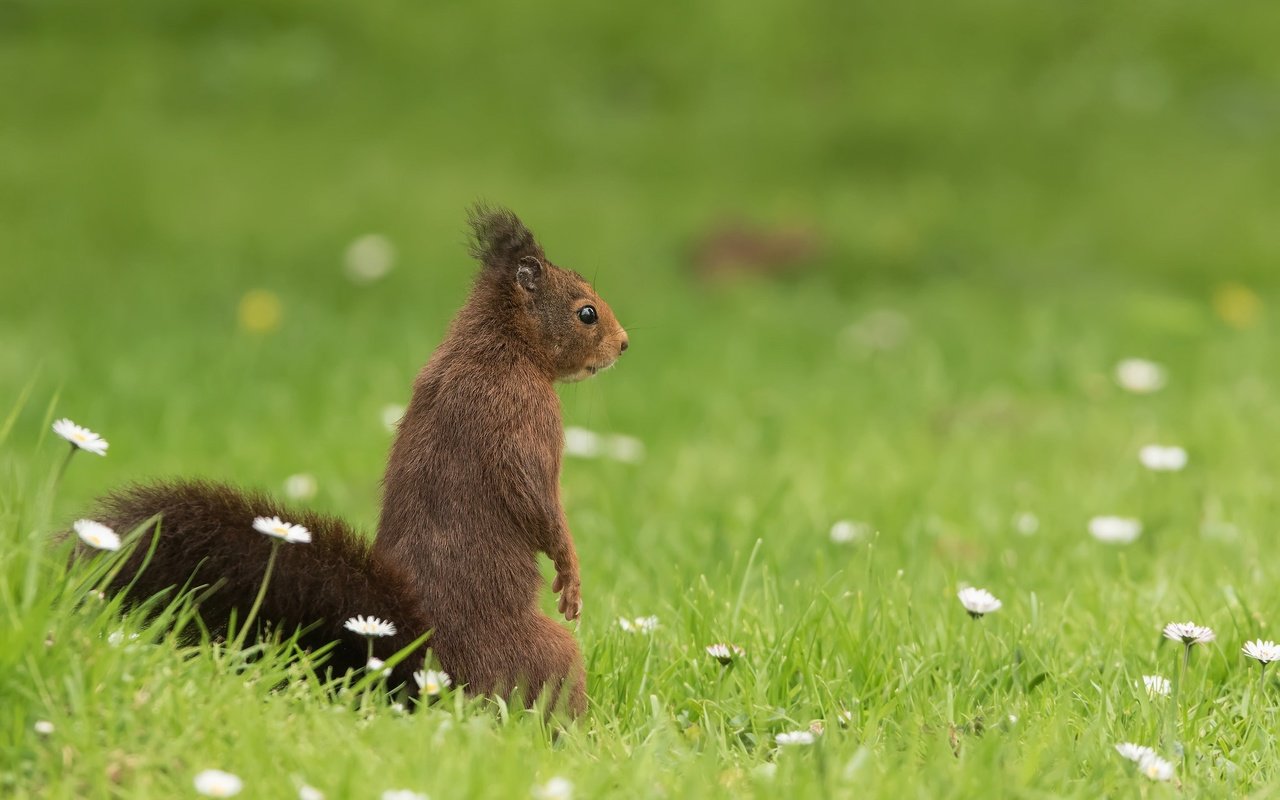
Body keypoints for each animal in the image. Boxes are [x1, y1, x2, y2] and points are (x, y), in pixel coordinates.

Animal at [83, 202, 624, 716]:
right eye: (587, 312)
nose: (624, 345)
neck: (501, 346)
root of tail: (422, 665)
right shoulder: (527, 419)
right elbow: (540, 502)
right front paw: (571, 576)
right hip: (546, 653)